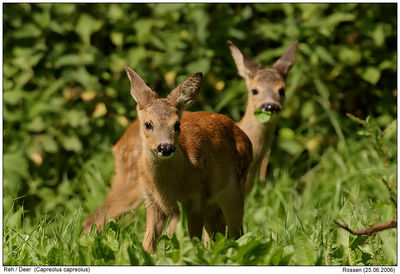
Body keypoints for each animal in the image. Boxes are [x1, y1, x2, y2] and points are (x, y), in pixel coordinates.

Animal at [84, 40, 296, 233]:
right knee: (97, 216)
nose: (269, 106)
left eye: (281, 90)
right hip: (132, 184)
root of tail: (119, 144)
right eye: (254, 90)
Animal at [95, 67, 252, 253]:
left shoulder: (196, 199)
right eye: (148, 124)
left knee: (236, 233)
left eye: (177, 124)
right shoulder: (152, 201)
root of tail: (245, 136)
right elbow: (148, 243)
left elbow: (193, 239)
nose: (166, 148)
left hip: (233, 191)